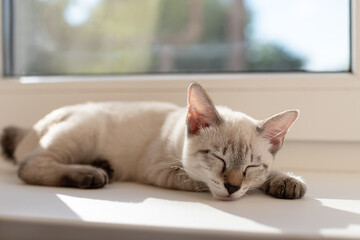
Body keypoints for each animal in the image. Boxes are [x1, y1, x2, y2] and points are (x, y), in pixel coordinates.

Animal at [0, 82, 306, 201]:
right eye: (218, 158)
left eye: (251, 166)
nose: (232, 187)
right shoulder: (161, 170)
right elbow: (199, 182)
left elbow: (269, 176)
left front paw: (287, 182)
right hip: (83, 130)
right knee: (29, 166)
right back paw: (92, 174)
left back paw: (104, 166)